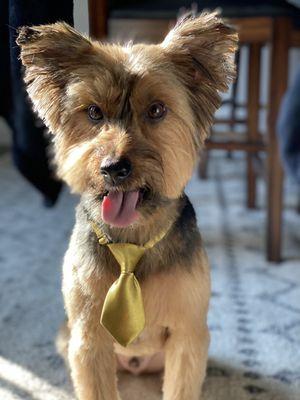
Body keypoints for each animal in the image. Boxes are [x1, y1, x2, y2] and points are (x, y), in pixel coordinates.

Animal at [17, 13, 238, 400]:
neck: (132, 243)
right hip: (66, 336)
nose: (114, 168)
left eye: (156, 110)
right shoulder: (89, 339)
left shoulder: (188, 336)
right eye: (93, 112)